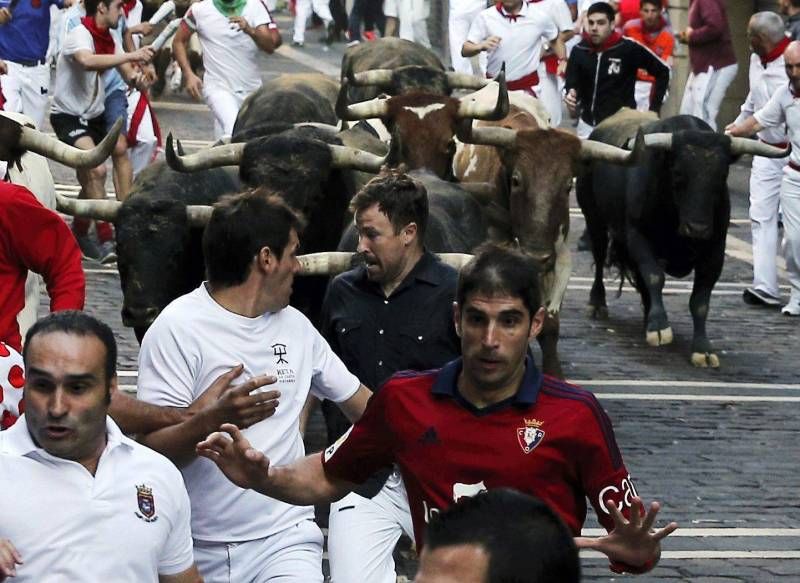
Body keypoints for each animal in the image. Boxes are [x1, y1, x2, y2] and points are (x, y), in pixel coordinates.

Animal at [576, 113, 788, 370]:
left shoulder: (715, 252)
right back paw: (599, 305)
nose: (697, 228)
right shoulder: (637, 237)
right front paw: (659, 327)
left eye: (722, 176)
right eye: (677, 173)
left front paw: (702, 349)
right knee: (599, 259)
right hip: (594, 219)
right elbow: (654, 277)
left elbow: (700, 302)